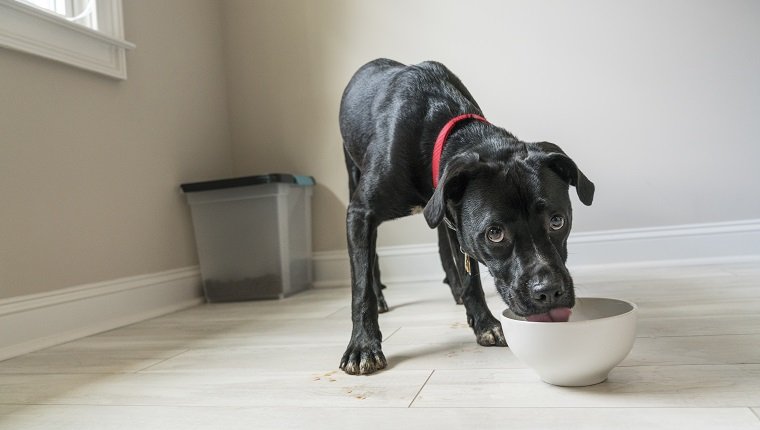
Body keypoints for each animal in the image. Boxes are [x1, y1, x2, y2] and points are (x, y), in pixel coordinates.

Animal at [338, 58, 592, 374]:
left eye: (557, 221)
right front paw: (363, 345)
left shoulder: (455, 219)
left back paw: (456, 288)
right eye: (495, 233)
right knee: (369, 261)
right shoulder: (361, 213)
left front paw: (483, 322)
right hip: (353, 176)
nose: (548, 293)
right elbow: (360, 287)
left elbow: (471, 277)